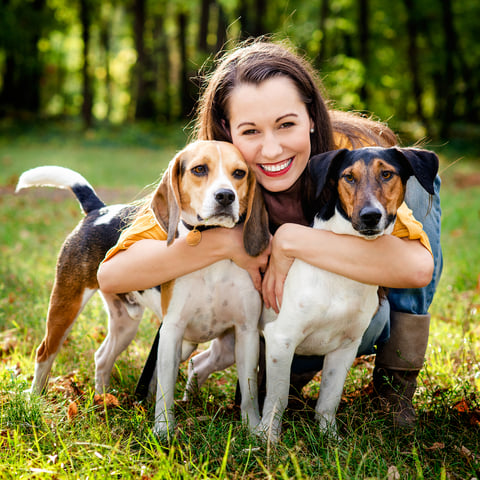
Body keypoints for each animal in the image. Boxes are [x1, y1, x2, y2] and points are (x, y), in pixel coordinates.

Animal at [15, 141, 270, 436]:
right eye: (199, 169)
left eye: (239, 173)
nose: (226, 196)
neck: (212, 251)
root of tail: (100, 210)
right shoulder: (172, 331)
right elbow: (164, 391)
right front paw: (163, 431)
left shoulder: (247, 333)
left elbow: (249, 392)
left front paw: (254, 430)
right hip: (65, 306)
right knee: (44, 353)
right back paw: (35, 401)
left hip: (126, 324)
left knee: (102, 358)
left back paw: (103, 400)